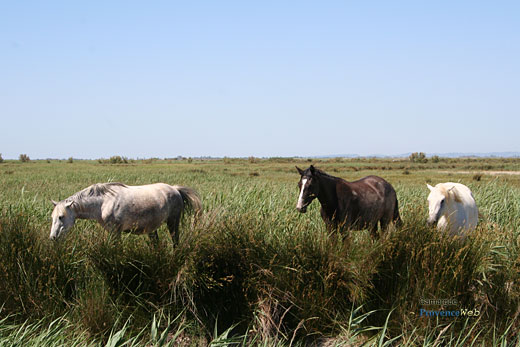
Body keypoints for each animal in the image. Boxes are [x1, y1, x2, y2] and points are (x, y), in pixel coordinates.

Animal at [49, 182, 201, 245]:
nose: (53, 238)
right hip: (152, 228)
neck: (103, 202)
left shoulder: (115, 231)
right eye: (53, 217)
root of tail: (175, 189)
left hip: (173, 222)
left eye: (61, 217)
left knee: (175, 242)